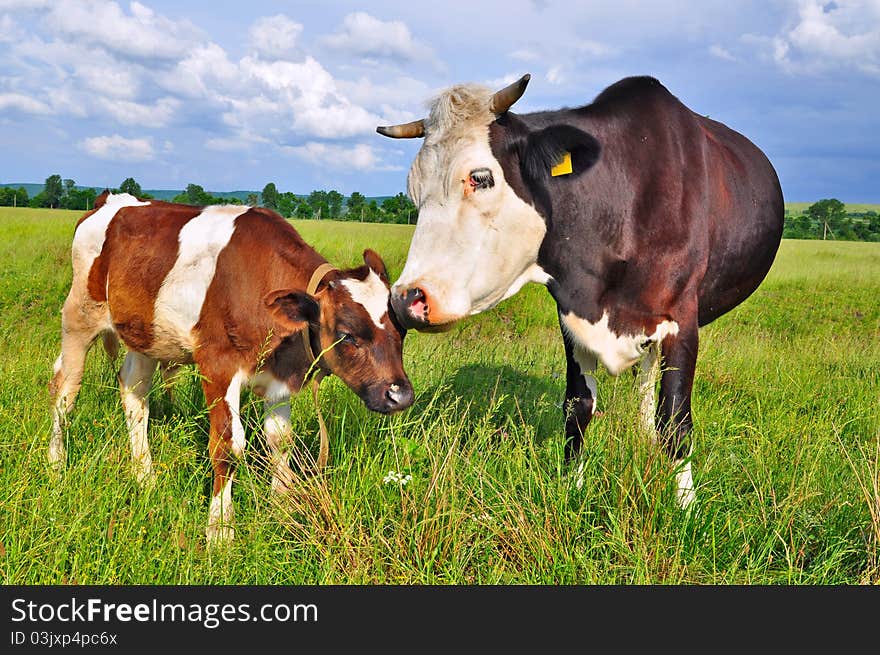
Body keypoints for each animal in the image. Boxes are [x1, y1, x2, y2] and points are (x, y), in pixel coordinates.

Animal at [49, 192, 414, 544]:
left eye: (402, 329)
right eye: (346, 334)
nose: (401, 396)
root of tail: (112, 200)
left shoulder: (279, 378)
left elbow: (281, 440)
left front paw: (282, 509)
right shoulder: (217, 366)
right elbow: (227, 447)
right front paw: (220, 531)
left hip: (146, 334)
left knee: (134, 392)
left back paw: (145, 476)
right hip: (80, 315)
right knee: (65, 388)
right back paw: (56, 464)